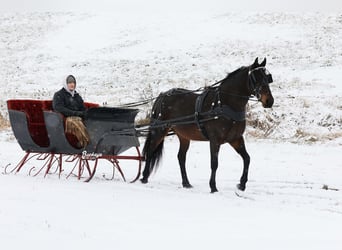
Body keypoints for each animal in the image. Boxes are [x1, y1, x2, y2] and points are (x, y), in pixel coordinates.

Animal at [140, 57, 274, 192]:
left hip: (183, 136)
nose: (269, 101)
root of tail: (162, 95)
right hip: (159, 130)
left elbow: (247, 158)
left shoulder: (235, 139)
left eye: (268, 78)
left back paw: (186, 183)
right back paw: (144, 177)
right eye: (256, 78)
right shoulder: (215, 140)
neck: (225, 103)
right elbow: (214, 163)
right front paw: (213, 187)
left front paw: (242, 184)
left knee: (181, 157)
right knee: (150, 151)